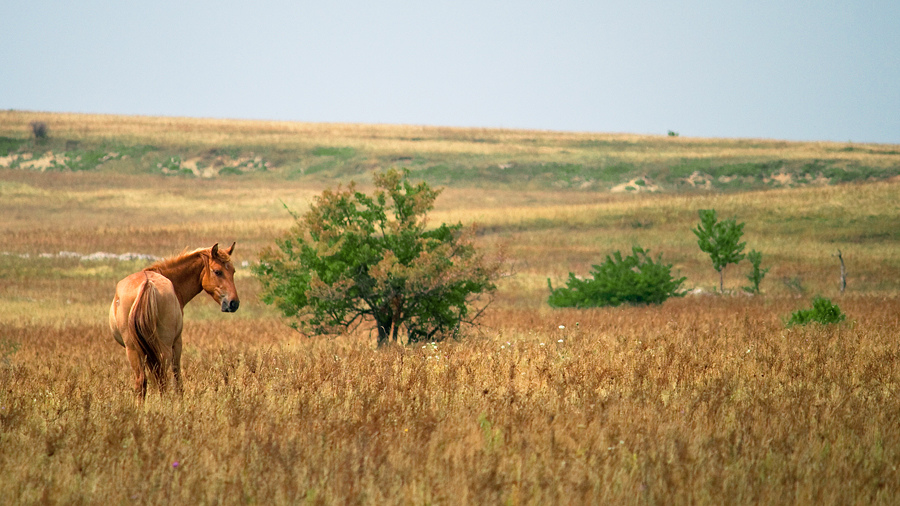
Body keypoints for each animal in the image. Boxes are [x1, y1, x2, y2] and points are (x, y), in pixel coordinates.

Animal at [107, 242, 241, 400]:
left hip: (133, 350)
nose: (234, 303)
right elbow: (178, 379)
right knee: (162, 380)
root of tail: (147, 284)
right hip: (164, 348)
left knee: (142, 382)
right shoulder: (177, 344)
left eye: (233, 271)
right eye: (217, 272)